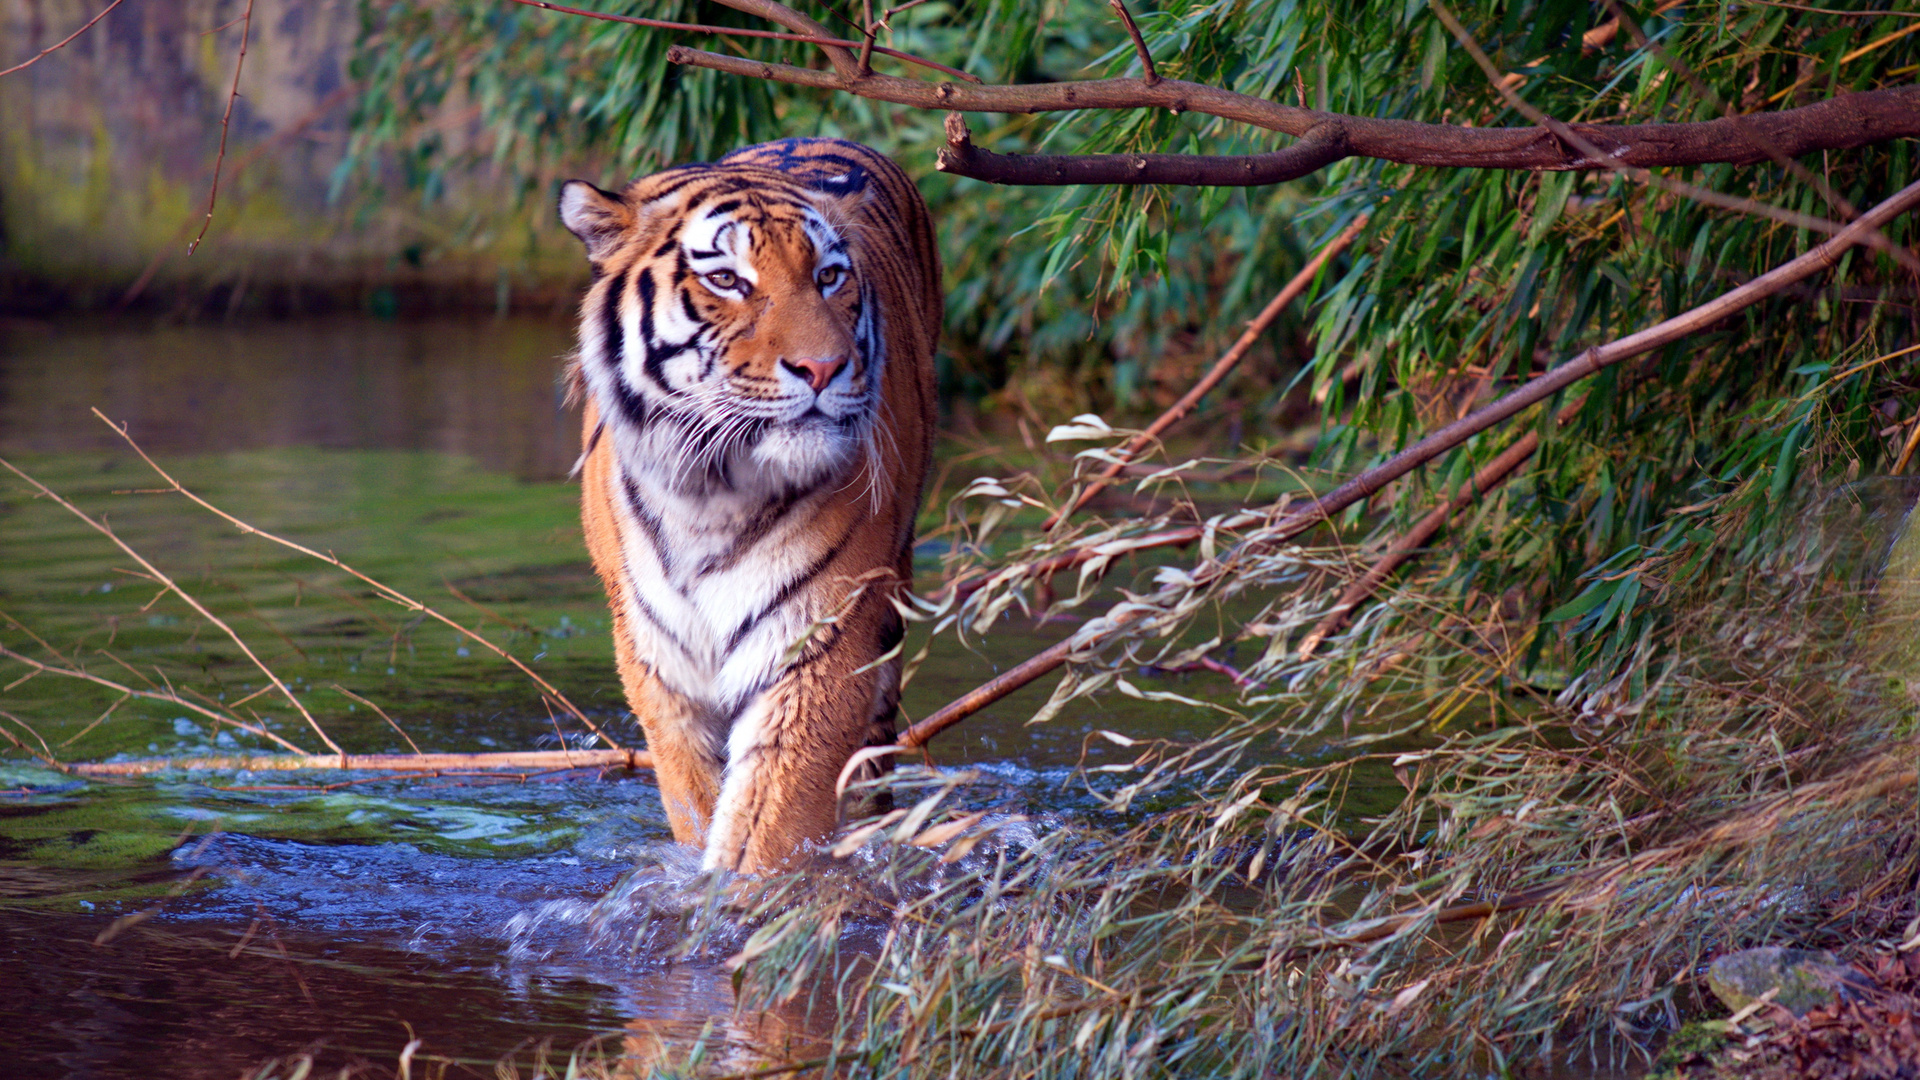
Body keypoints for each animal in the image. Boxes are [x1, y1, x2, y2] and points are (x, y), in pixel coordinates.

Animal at [556, 138, 944, 868]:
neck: (710, 491)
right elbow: (699, 800)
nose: (824, 368)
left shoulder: (819, 641)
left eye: (828, 277)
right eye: (729, 281)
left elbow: (768, 821)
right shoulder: (658, 660)